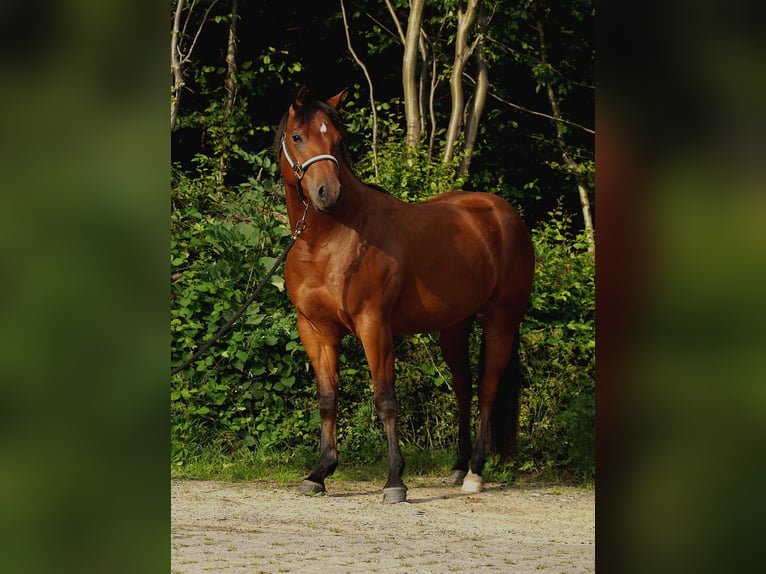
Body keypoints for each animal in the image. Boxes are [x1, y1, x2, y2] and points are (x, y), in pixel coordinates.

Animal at [274, 86, 534, 503]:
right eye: (297, 137)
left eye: (337, 139)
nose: (328, 193)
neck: (328, 241)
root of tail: (503, 214)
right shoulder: (315, 330)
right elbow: (328, 398)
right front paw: (320, 472)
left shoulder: (374, 326)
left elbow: (385, 399)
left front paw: (395, 479)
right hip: (454, 327)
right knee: (463, 388)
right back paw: (458, 465)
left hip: (502, 320)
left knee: (487, 389)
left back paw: (475, 472)